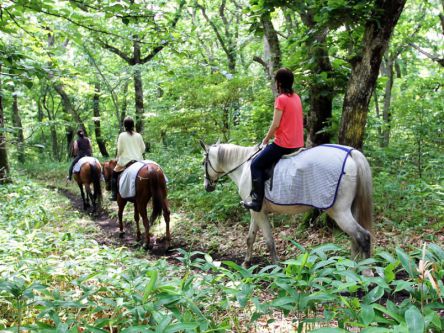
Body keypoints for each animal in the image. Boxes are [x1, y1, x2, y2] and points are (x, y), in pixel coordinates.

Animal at [199, 141, 372, 268]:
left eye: (203, 162)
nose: (207, 186)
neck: (244, 167)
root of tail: (351, 154)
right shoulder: (255, 211)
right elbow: (250, 238)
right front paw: (246, 263)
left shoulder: (258, 212)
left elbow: (269, 240)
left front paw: (276, 267)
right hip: (350, 209)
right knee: (355, 239)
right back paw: (351, 268)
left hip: (339, 212)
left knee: (363, 237)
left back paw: (366, 272)